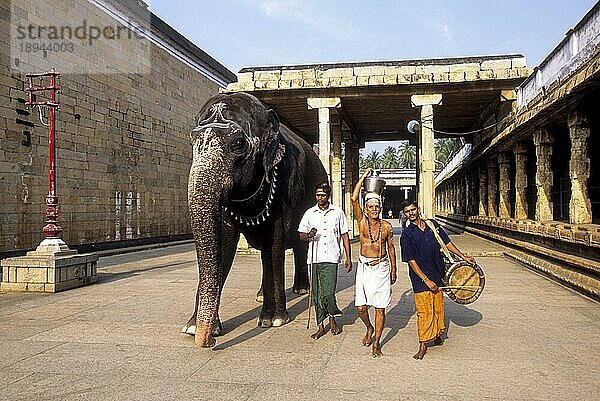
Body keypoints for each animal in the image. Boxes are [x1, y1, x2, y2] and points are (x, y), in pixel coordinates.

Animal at [184, 91, 328, 346]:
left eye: (238, 144)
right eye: (193, 140)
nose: (208, 342)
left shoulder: (285, 185)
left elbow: (275, 242)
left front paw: (274, 320)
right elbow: (223, 243)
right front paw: (193, 328)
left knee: (298, 245)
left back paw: (300, 290)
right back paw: (261, 295)